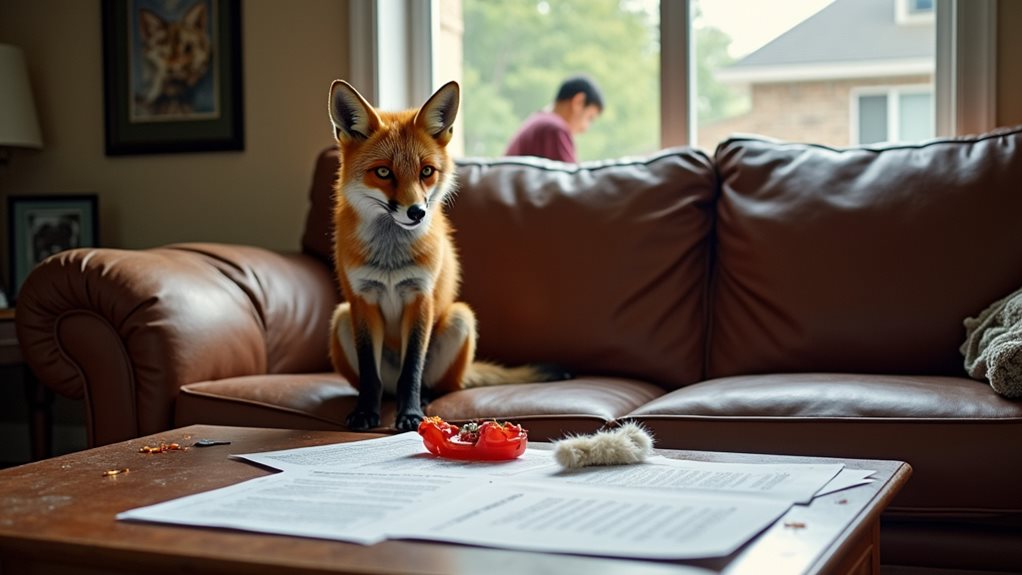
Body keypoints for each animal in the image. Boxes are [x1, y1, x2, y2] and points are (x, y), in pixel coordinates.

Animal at [327, 80, 566, 432]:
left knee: (437, 384)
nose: (417, 212)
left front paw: (411, 414)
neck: (390, 260)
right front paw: (365, 413)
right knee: (385, 385)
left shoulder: (421, 297)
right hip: (342, 317)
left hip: (459, 318)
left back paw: (425, 399)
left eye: (427, 171)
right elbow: (370, 376)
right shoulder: (362, 300)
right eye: (383, 172)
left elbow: (412, 371)